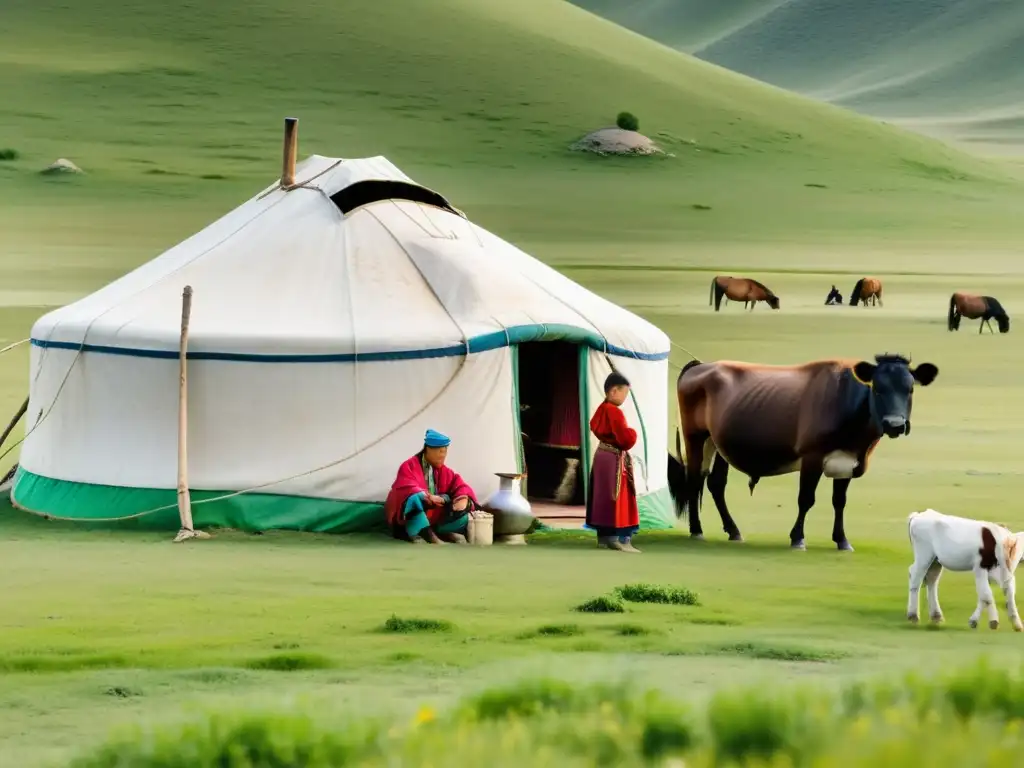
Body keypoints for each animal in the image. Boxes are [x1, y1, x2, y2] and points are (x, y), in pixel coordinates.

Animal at [667, 354, 937, 552]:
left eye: (910, 389)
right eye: (878, 388)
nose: (895, 425)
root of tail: (701, 365)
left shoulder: (847, 462)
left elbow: (839, 501)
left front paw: (842, 540)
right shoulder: (812, 458)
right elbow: (806, 499)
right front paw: (797, 538)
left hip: (718, 443)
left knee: (715, 483)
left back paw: (733, 530)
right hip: (695, 437)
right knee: (694, 479)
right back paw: (697, 530)